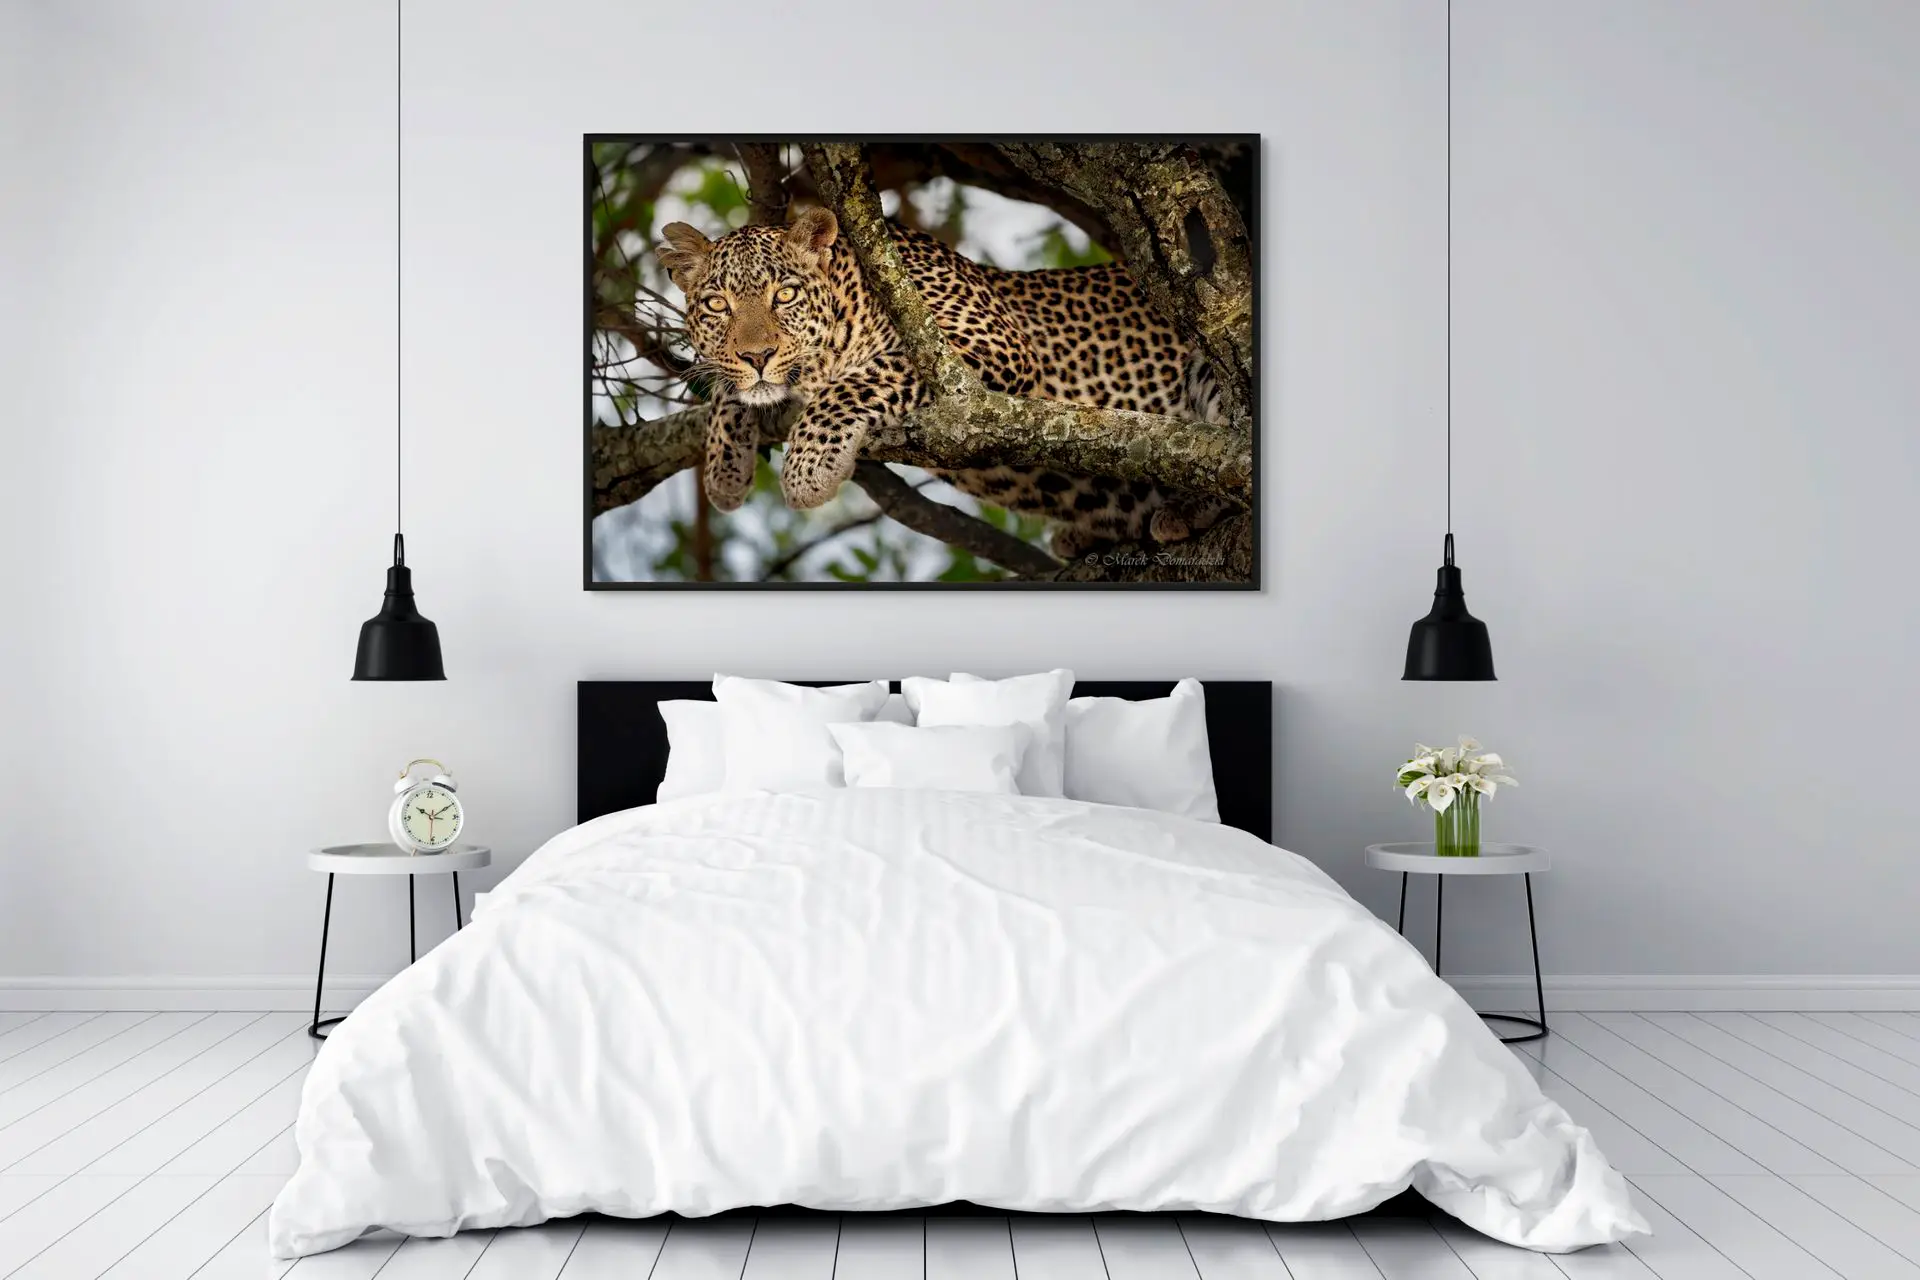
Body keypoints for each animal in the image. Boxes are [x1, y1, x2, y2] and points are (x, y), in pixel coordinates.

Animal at [655, 206, 1231, 558]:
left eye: (786, 296)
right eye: (716, 305)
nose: (757, 354)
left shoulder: (986, 347)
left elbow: (852, 384)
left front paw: (806, 470)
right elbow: (728, 388)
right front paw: (724, 471)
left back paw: (1185, 509)